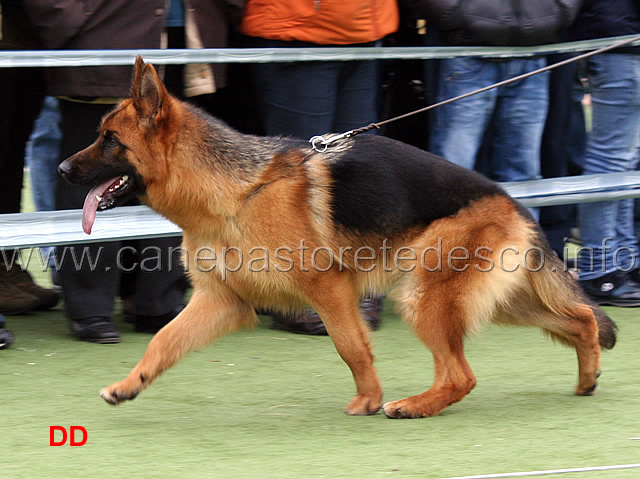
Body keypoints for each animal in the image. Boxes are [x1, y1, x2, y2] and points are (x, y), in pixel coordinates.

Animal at [58, 58, 616, 420]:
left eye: (110, 140)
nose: (62, 169)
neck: (238, 191)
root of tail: (513, 204)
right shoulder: (220, 300)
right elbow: (163, 341)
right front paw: (129, 385)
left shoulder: (329, 291)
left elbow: (350, 347)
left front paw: (368, 399)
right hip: (499, 301)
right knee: (581, 320)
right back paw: (587, 377)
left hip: (425, 297)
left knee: (462, 375)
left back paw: (412, 406)